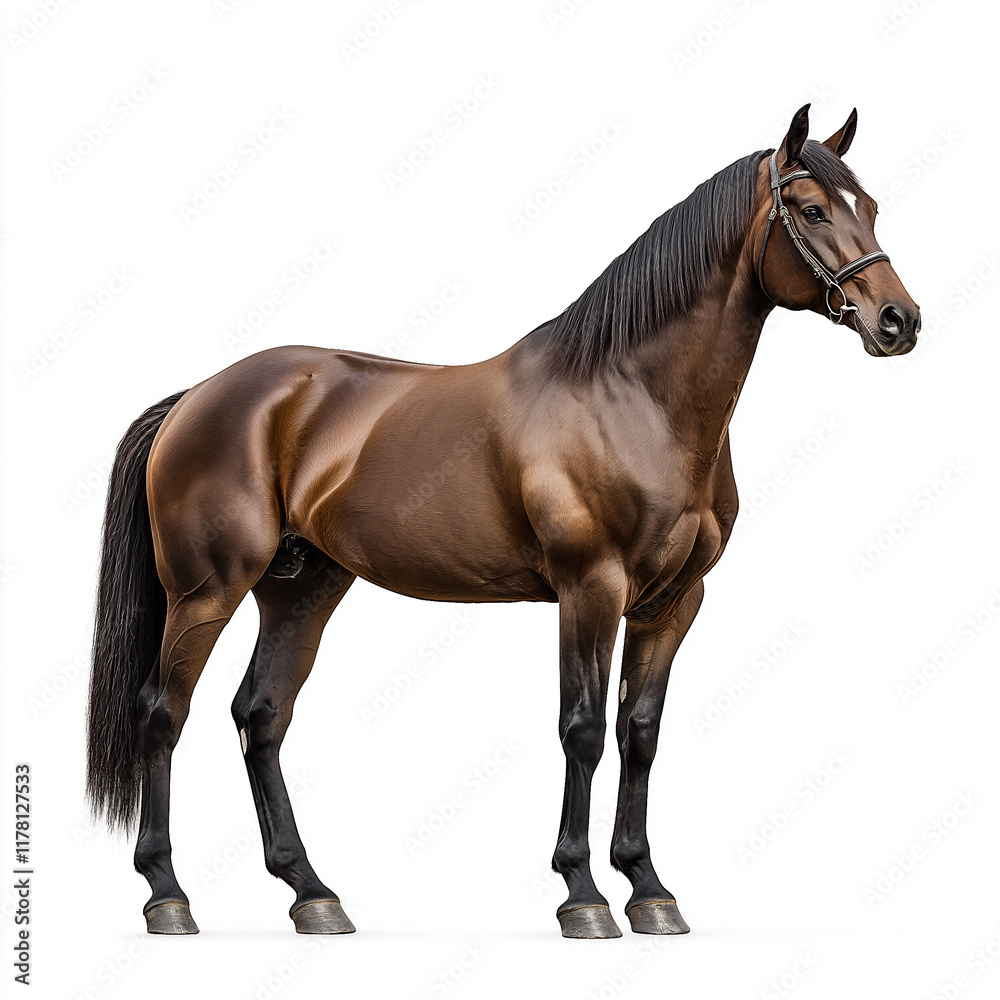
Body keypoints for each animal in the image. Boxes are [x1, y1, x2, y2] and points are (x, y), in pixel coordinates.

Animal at [86, 104, 919, 939]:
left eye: (871, 207)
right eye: (810, 209)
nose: (898, 320)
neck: (630, 397)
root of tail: (197, 397)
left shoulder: (674, 602)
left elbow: (640, 733)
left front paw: (649, 889)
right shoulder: (591, 588)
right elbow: (583, 730)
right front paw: (583, 895)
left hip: (302, 591)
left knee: (260, 717)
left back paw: (312, 894)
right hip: (206, 591)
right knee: (162, 714)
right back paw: (168, 894)